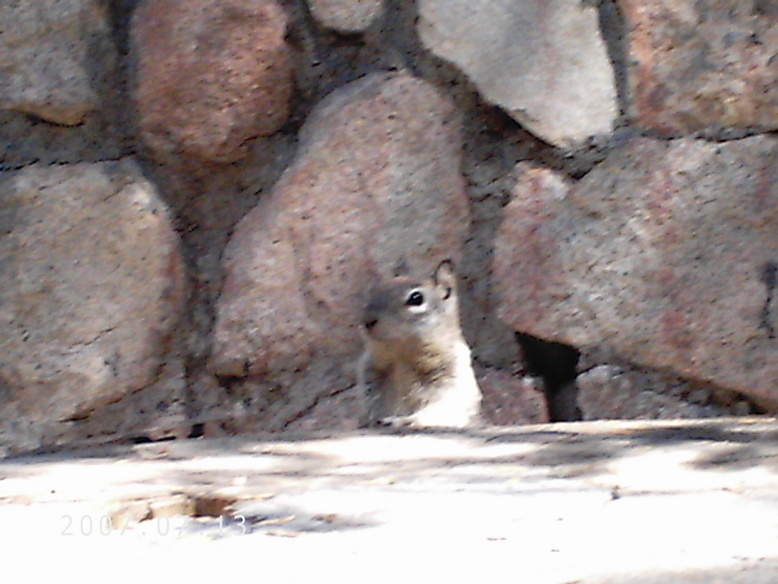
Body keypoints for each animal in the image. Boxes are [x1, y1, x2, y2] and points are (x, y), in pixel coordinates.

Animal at [357, 259, 482, 428]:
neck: (400, 355)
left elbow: (441, 407)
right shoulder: (371, 376)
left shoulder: (450, 380)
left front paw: (405, 420)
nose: (367, 320)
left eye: (416, 298)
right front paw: (370, 420)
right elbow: (372, 404)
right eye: (374, 291)